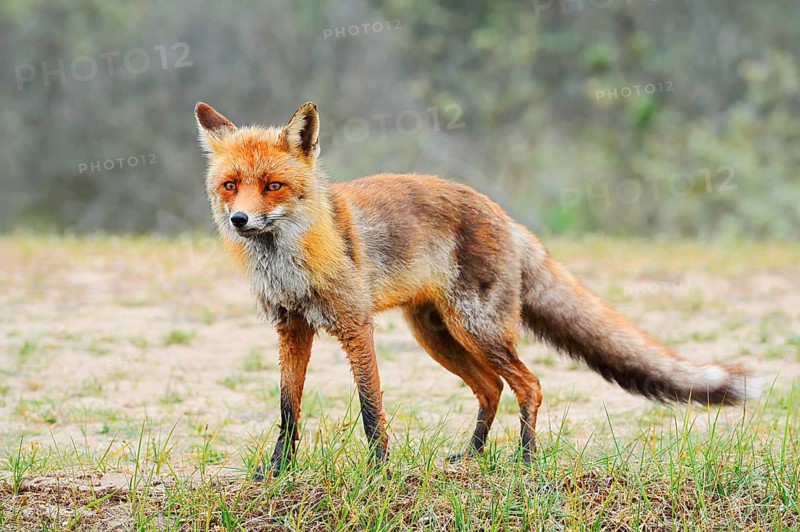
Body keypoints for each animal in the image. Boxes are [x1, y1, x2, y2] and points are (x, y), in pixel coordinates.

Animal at [194, 101, 759, 476]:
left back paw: (526, 461)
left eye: (273, 186)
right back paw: (472, 455)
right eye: (230, 186)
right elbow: (288, 409)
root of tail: (504, 215)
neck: (288, 262)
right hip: (437, 335)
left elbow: (371, 408)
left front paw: (379, 472)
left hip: (477, 328)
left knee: (528, 385)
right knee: (491, 389)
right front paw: (277, 471)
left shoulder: (355, 325)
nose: (241, 220)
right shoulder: (291, 327)